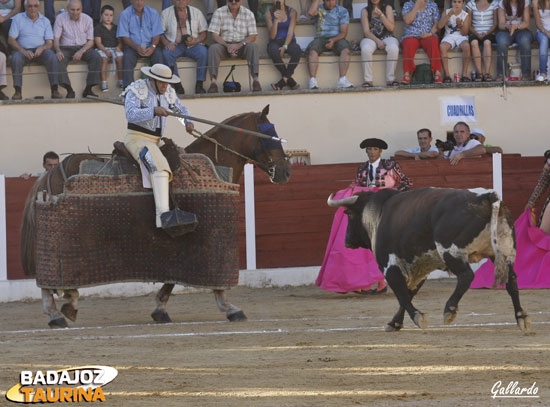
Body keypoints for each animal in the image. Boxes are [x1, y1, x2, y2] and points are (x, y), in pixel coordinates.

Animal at [20, 105, 294, 328]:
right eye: (270, 133)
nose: (286, 172)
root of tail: (52, 172)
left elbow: (171, 279)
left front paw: (160, 310)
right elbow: (211, 281)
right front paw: (230, 308)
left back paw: (65, 306)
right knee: (51, 277)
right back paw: (57, 313)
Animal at [330, 186, 532, 334]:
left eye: (348, 214)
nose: (346, 240)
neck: (378, 213)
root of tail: (486, 196)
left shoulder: (389, 266)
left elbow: (401, 294)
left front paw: (417, 318)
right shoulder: (420, 268)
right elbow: (408, 294)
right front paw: (395, 323)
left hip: (450, 251)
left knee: (466, 276)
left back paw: (449, 310)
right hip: (503, 252)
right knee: (511, 280)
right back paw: (521, 317)